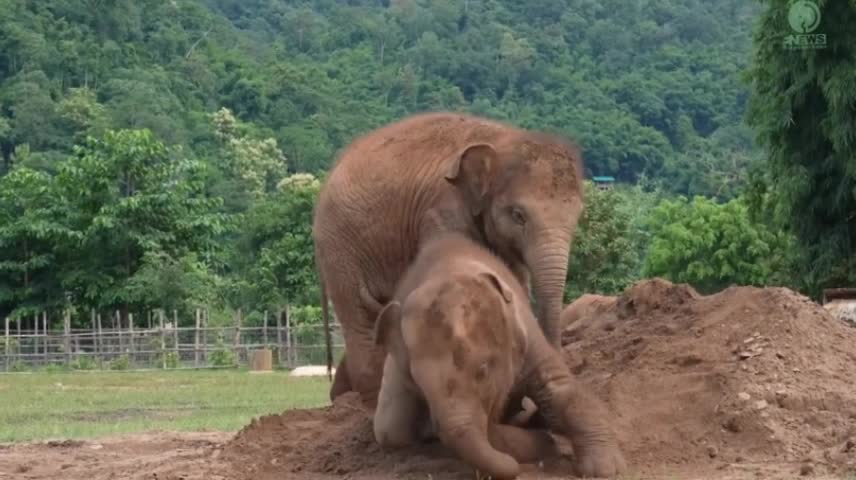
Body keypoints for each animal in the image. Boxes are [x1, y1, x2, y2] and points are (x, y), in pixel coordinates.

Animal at [316, 111, 588, 404]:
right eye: (518, 215)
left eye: (578, 216)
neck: (501, 140)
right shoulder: (441, 211)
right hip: (338, 248)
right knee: (358, 316)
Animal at [372, 232, 624, 476]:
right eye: (419, 385)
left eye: (483, 371)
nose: (515, 467)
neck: (447, 268)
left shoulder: (527, 332)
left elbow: (561, 389)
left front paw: (602, 469)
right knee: (392, 430)